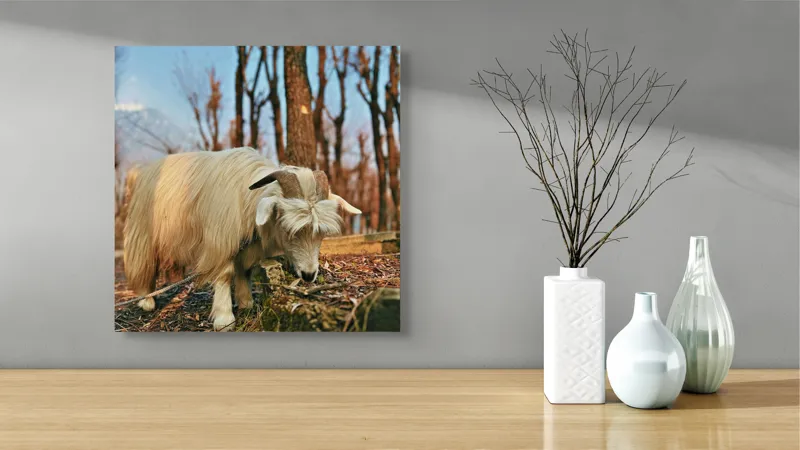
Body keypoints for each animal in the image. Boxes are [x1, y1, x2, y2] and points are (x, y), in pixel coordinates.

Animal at [123, 147, 361, 331]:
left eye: (320, 233)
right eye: (287, 228)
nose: (309, 275)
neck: (245, 195)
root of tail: (140, 172)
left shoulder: (247, 244)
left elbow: (244, 270)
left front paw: (246, 302)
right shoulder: (220, 239)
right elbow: (225, 274)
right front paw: (224, 318)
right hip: (143, 233)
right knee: (143, 262)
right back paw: (146, 299)